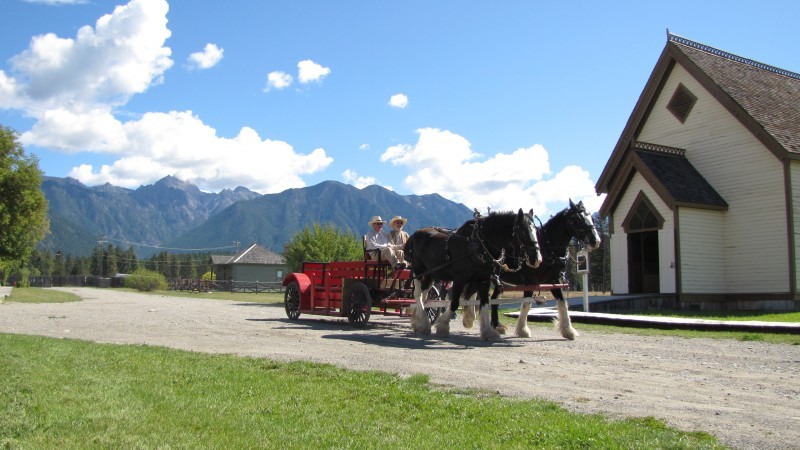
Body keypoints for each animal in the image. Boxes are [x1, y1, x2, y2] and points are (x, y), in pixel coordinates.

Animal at [406, 210, 544, 342]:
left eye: (536, 231)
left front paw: (488, 332)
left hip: (431, 274)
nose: (537, 259)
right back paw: (423, 324)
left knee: (424, 294)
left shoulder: (484, 280)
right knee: (418, 294)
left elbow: (484, 303)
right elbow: (455, 302)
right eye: (522, 232)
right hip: (418, 271)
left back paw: (418, 322)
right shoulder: (459, 278)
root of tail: (415, 234)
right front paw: (443, 325)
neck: (477, 245)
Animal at [462, 199, 600, 340]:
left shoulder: (553, 280)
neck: (547, 247)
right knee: (472, 293)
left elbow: (562, 302)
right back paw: (469, 319)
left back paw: (496, 325)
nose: (596, 241)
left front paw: (568, 329)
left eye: (591, 218)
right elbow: (527, 303)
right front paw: (522, 329)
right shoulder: (530, 281)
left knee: (492, 298)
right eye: (577, 219)